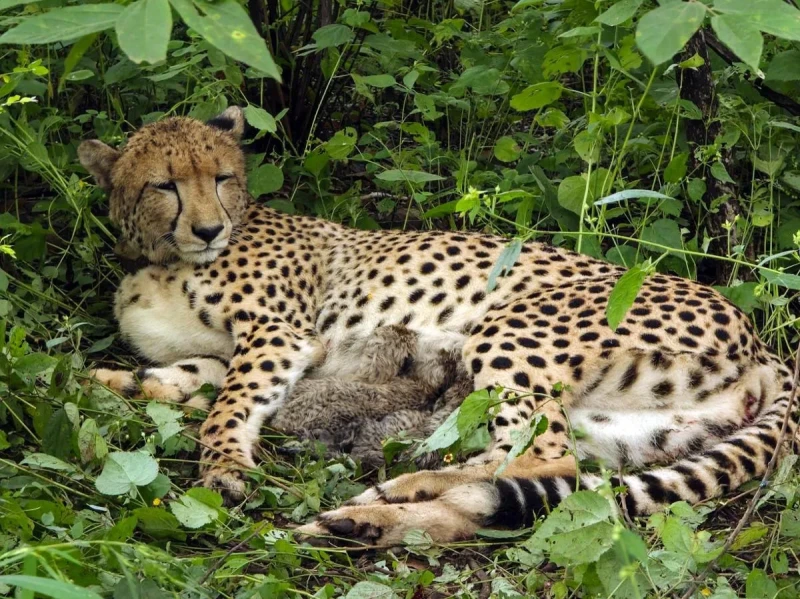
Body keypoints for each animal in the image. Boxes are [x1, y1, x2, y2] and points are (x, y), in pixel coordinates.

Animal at [78, 106, 797, 546]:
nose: (208, 229)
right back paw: (374, 514)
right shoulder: (235, 352)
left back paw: (386, 498)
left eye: (222, 177)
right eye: (165, 185)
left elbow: (225, 406)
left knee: (542, 454)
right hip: (629, 428)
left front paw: (223, 465)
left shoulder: (279, 336)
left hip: (512, 328)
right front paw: (105, 382)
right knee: (525, 475)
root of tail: (763, 340)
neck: (161, 257)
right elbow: (179, 377)